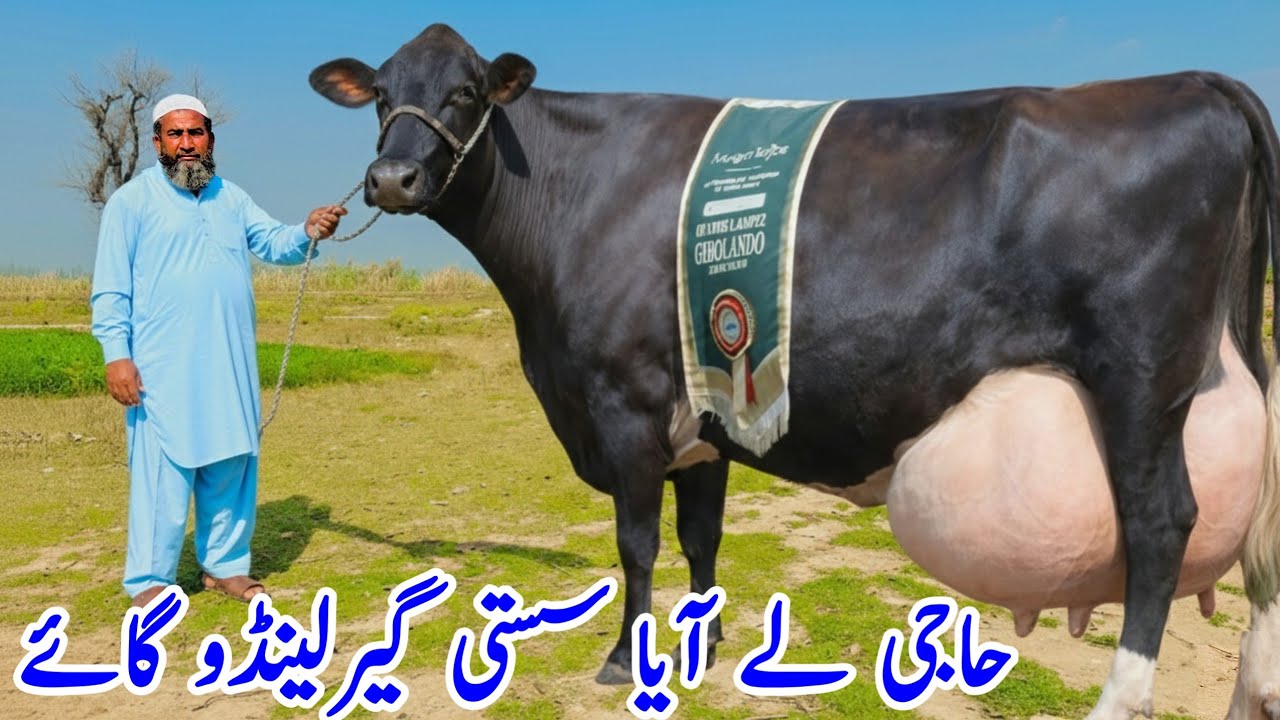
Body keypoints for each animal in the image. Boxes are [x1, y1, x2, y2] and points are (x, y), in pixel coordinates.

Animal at [309, 23, 1280, 719]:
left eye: (467, 91)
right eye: (381, 96)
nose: (390, 179)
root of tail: (1198, 79)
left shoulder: (623, 403)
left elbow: (635, 542)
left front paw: (623, 661)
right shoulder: (702, 422)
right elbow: (699, 537)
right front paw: (702, 647)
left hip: (1140, 377)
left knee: (1161, 524)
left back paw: (1120, 699)